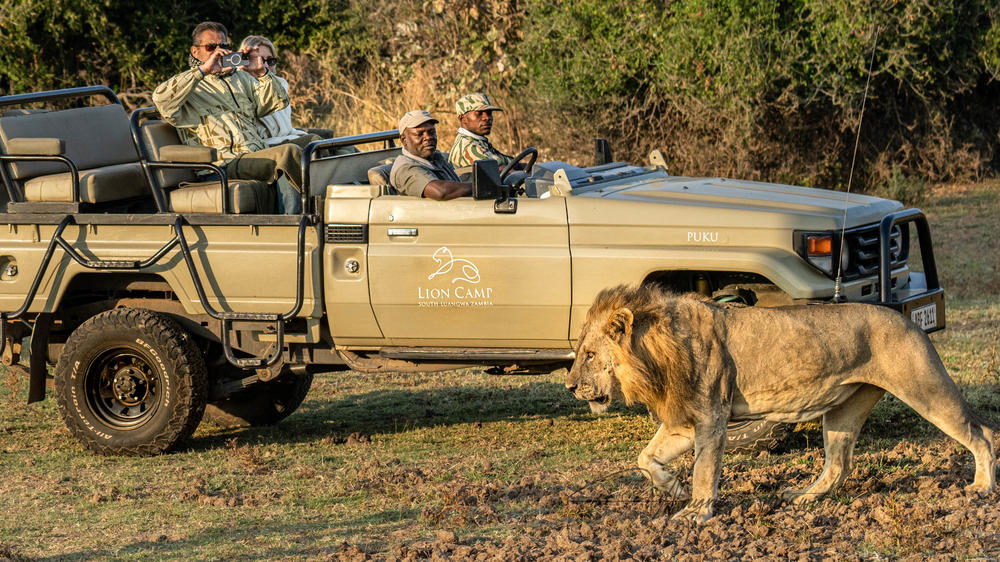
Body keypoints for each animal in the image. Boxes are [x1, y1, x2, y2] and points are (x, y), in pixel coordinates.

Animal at [565, 284, 996, 523]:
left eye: (589, 355)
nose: (569, 386)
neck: (655, 353)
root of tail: (907, 319)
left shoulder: (710, 418)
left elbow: (705, 470)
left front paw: (694, 513)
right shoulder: (684, 422)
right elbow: (645, 458)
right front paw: (674, 488)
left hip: (925, 387)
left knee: (983, 432)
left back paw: (982, 487)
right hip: (844, 410)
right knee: (838, 466)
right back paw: (803, 498)